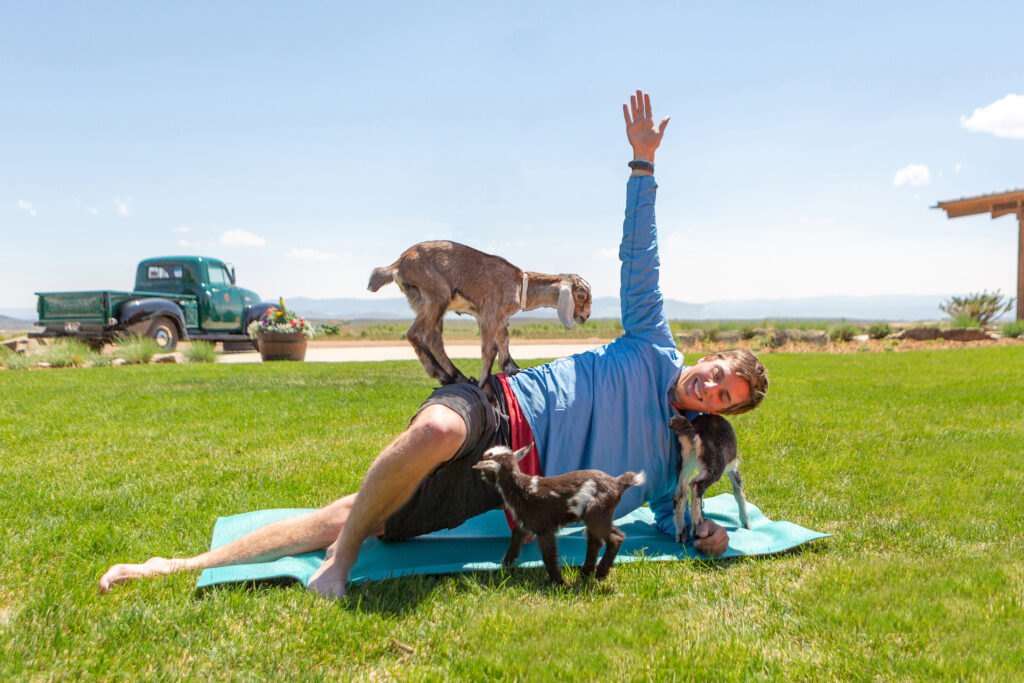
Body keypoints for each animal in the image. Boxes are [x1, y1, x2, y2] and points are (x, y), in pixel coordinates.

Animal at [667, 411, 749, 544]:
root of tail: (694, 430)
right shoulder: (733, 469)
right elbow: (739, 493)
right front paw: (747, 524)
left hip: (685, 462)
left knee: (680, 495)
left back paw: (681, 532)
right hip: (714, 466)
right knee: (696, 485)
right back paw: (697, 525)